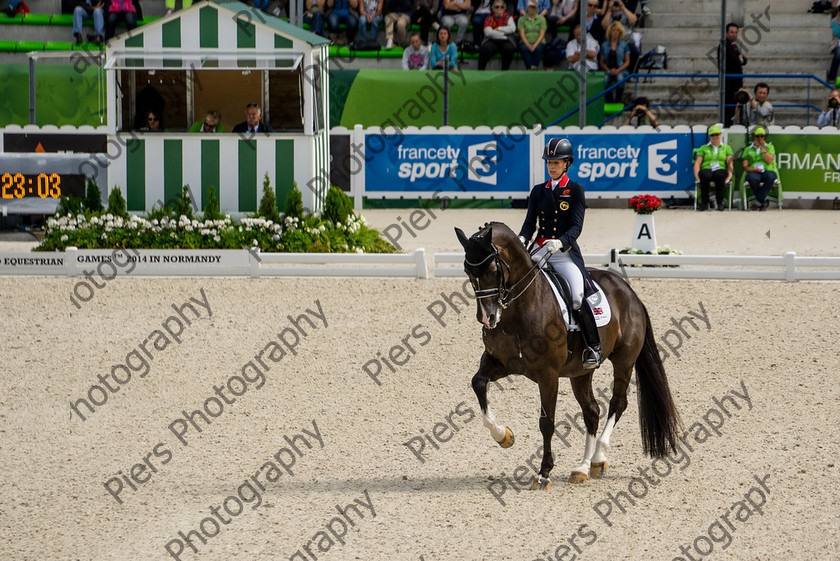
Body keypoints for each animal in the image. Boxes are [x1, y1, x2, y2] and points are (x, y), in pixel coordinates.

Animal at [452, 221, 684, 488]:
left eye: (492, 269)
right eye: (467, 271)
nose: (488, 318)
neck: (521, 308)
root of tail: (629, 292)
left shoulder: (548, 375)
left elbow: (546, 423)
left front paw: (543, 473)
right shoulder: (500, 363)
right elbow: (478, 383)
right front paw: (504, 436)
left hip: (624, 361)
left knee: (617, 403)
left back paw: (598, 458)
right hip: (580, 372)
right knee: (592, 411)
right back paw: (582, 468)